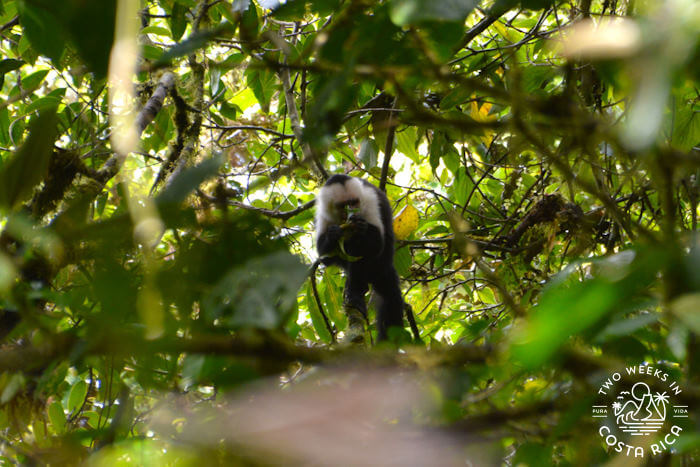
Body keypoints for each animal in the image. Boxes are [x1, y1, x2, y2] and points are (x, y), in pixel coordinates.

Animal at [315, 174, 405, 341]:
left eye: (353, 202)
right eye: (343, 205)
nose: (352, 212)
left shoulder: (369, 200)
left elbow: (376, 244)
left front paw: (361, 228)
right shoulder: (323, 213)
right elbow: (324, 257)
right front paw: (333, 235)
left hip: (381, 263)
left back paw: (356, 291)